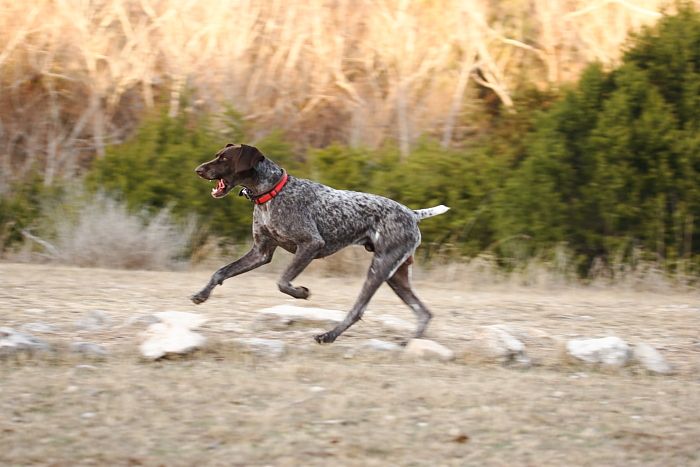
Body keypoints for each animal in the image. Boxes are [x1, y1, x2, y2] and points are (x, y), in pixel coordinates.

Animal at [191, 143, 448, 344]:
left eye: (225, 159)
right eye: (217, 155)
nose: (198, 170)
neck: (271, 193)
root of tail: (412, 214)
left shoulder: (310, 244)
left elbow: (282, 282)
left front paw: (301, 293)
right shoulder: (260, 252)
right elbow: (221, 271)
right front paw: (202, 294)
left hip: (380, 268)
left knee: (358, 310)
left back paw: (328, 336)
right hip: (396, 276)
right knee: (423, 312)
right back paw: (411, 343)